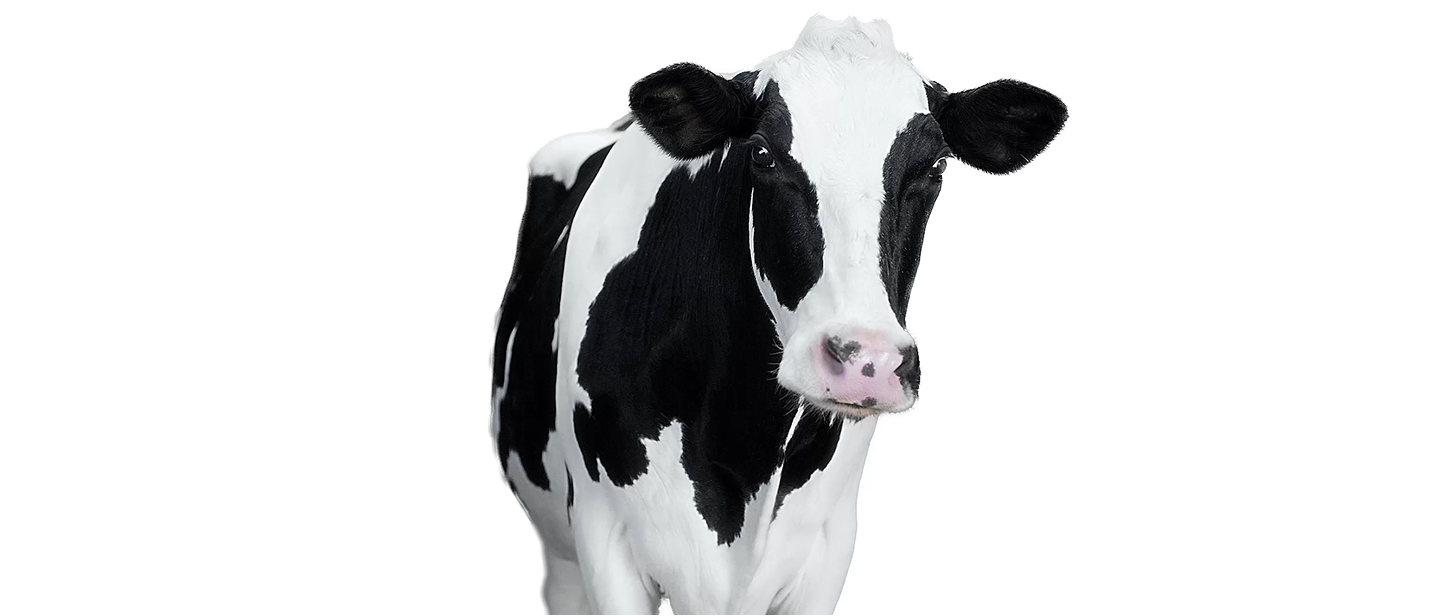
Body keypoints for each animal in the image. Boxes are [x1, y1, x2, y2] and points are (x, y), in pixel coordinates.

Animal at [491, 16, 1066, 615]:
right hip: (562, 553)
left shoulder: (827, 550)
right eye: (763, 154)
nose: (867, 360)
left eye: (935, 166)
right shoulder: (605, 542)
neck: (743, 443)